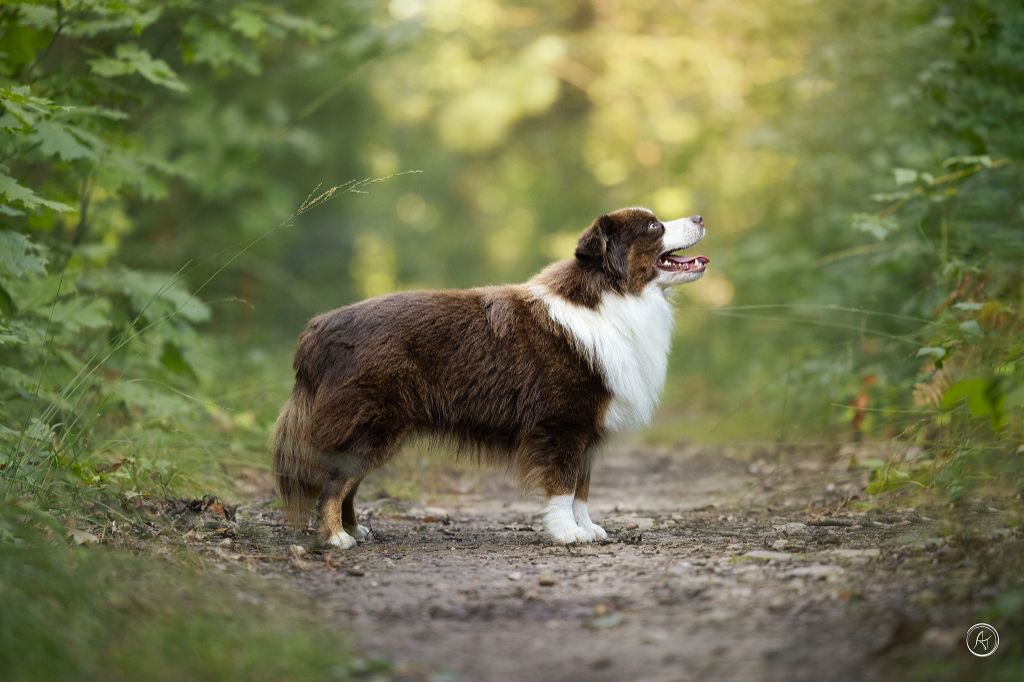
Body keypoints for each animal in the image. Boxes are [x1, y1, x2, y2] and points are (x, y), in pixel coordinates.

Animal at [270, 206, 712, 548]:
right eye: (653, 227)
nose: (700, 216)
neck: (610, 298)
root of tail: (314, 333)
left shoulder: (586, 428)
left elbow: (582, 489)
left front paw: (587, 528)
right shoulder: (561, 425)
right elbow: (563, 487)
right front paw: (567, 533)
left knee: (348, 481)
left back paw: (354, 529)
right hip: (368, 425)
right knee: (333, 481)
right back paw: (336, 537)